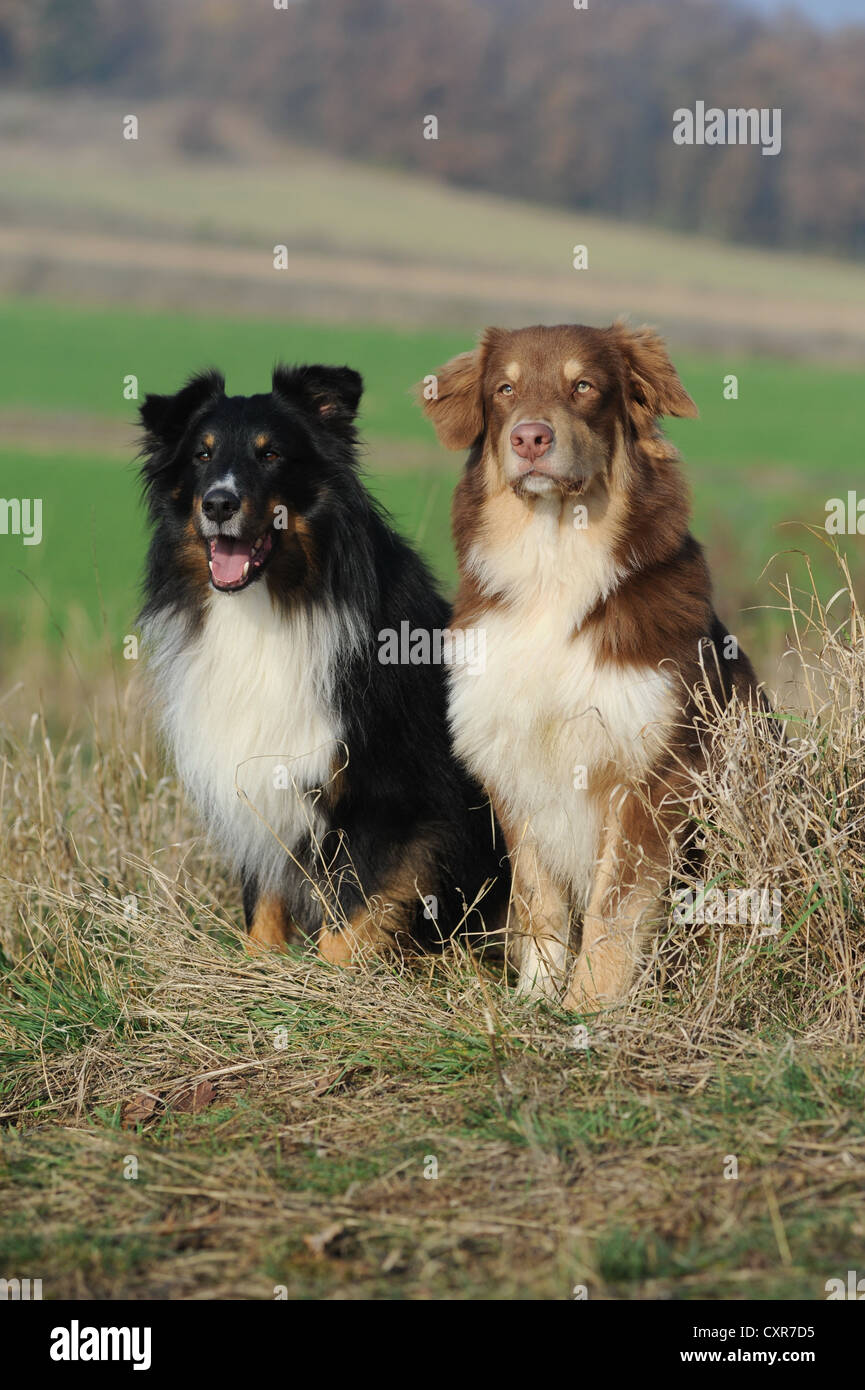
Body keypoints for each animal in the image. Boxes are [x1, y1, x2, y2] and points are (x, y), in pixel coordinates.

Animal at [422, 319, 762, 1006]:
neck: (555, 562)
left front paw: (590, 1006)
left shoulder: (655, 771)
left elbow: (615, 905)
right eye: (504, 390)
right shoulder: (514, 760)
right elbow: (539, 897)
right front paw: (536, 996)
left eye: (583, 387)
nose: (530, 437)